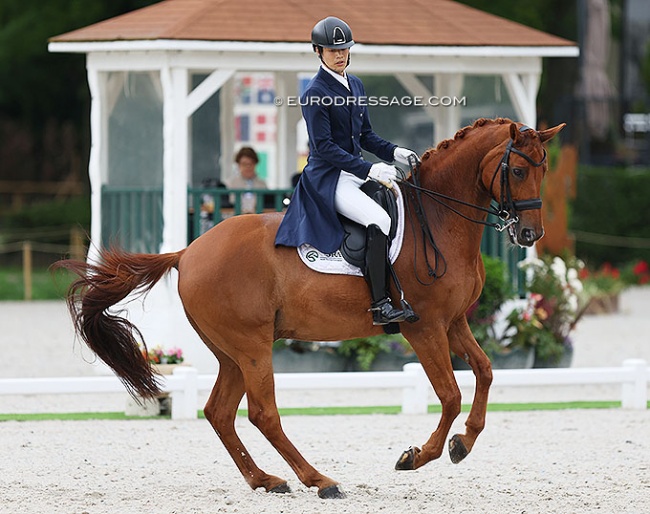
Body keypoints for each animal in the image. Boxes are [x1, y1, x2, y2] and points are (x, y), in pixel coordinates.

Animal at [55, 117, 560, 496]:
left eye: (544, 170)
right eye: (518, 172)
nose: (528, 235)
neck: (436, 219)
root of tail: (187, 252)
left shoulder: (453, 322)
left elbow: (486, 372)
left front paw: (463, 444)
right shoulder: (424, 327)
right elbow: (451, 393)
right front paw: (417, 456)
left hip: (232, 352)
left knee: (220, 412)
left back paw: (266, 480)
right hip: (253, 346)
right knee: (263, 413)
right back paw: (319, 480)